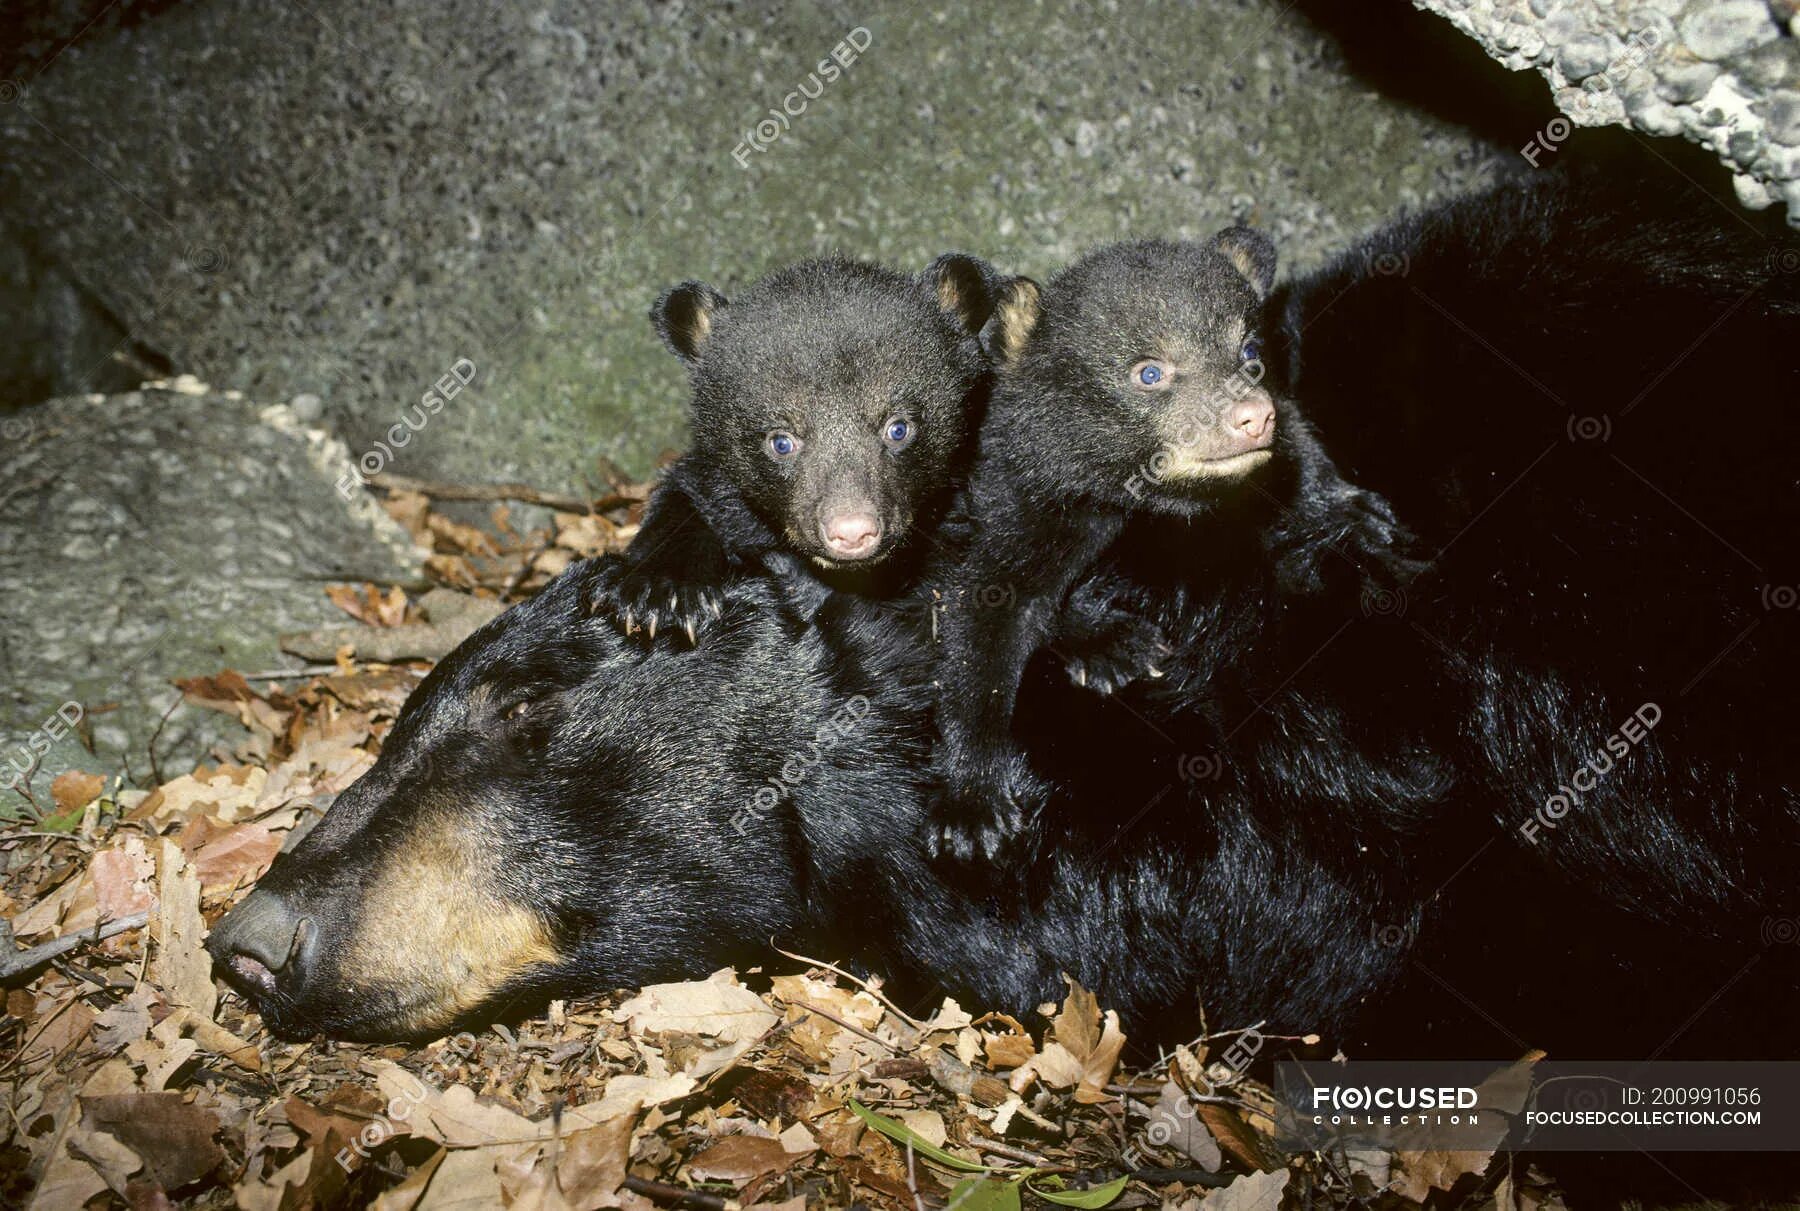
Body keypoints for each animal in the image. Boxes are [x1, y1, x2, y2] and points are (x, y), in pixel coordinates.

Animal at [590, 248, 1000, 636]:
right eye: (781, 442)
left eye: (898, 428)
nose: (852, 532)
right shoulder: (718, 489)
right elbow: (687, 496)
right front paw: (658, 594)